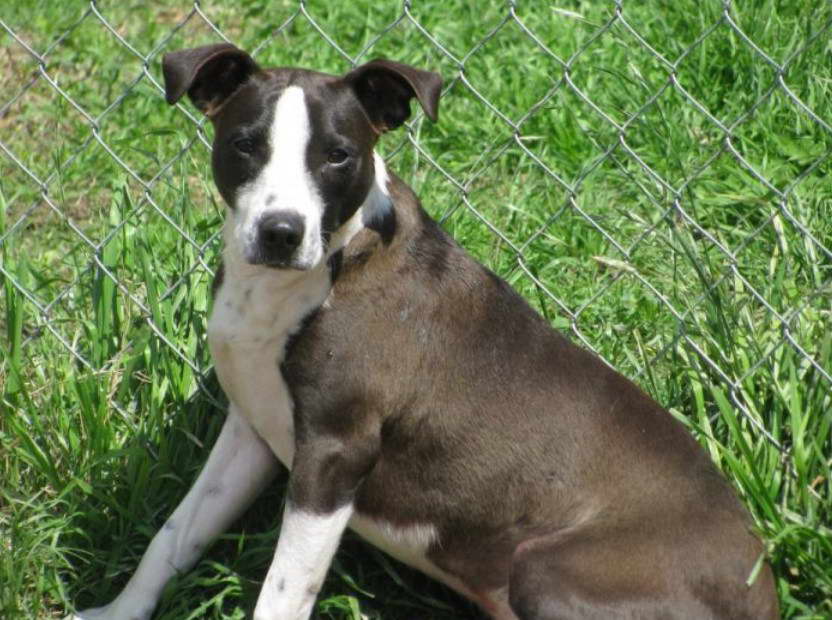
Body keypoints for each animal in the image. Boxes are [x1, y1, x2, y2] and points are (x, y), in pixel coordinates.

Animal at [70, 44, 780, 620]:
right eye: (246, 144)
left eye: (338, 156)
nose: (281, 232)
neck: (319, 272)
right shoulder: (250, 429)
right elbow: (173, 534)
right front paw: (119, 612)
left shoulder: (335, 450)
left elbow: (282, 590)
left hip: (546, 565)